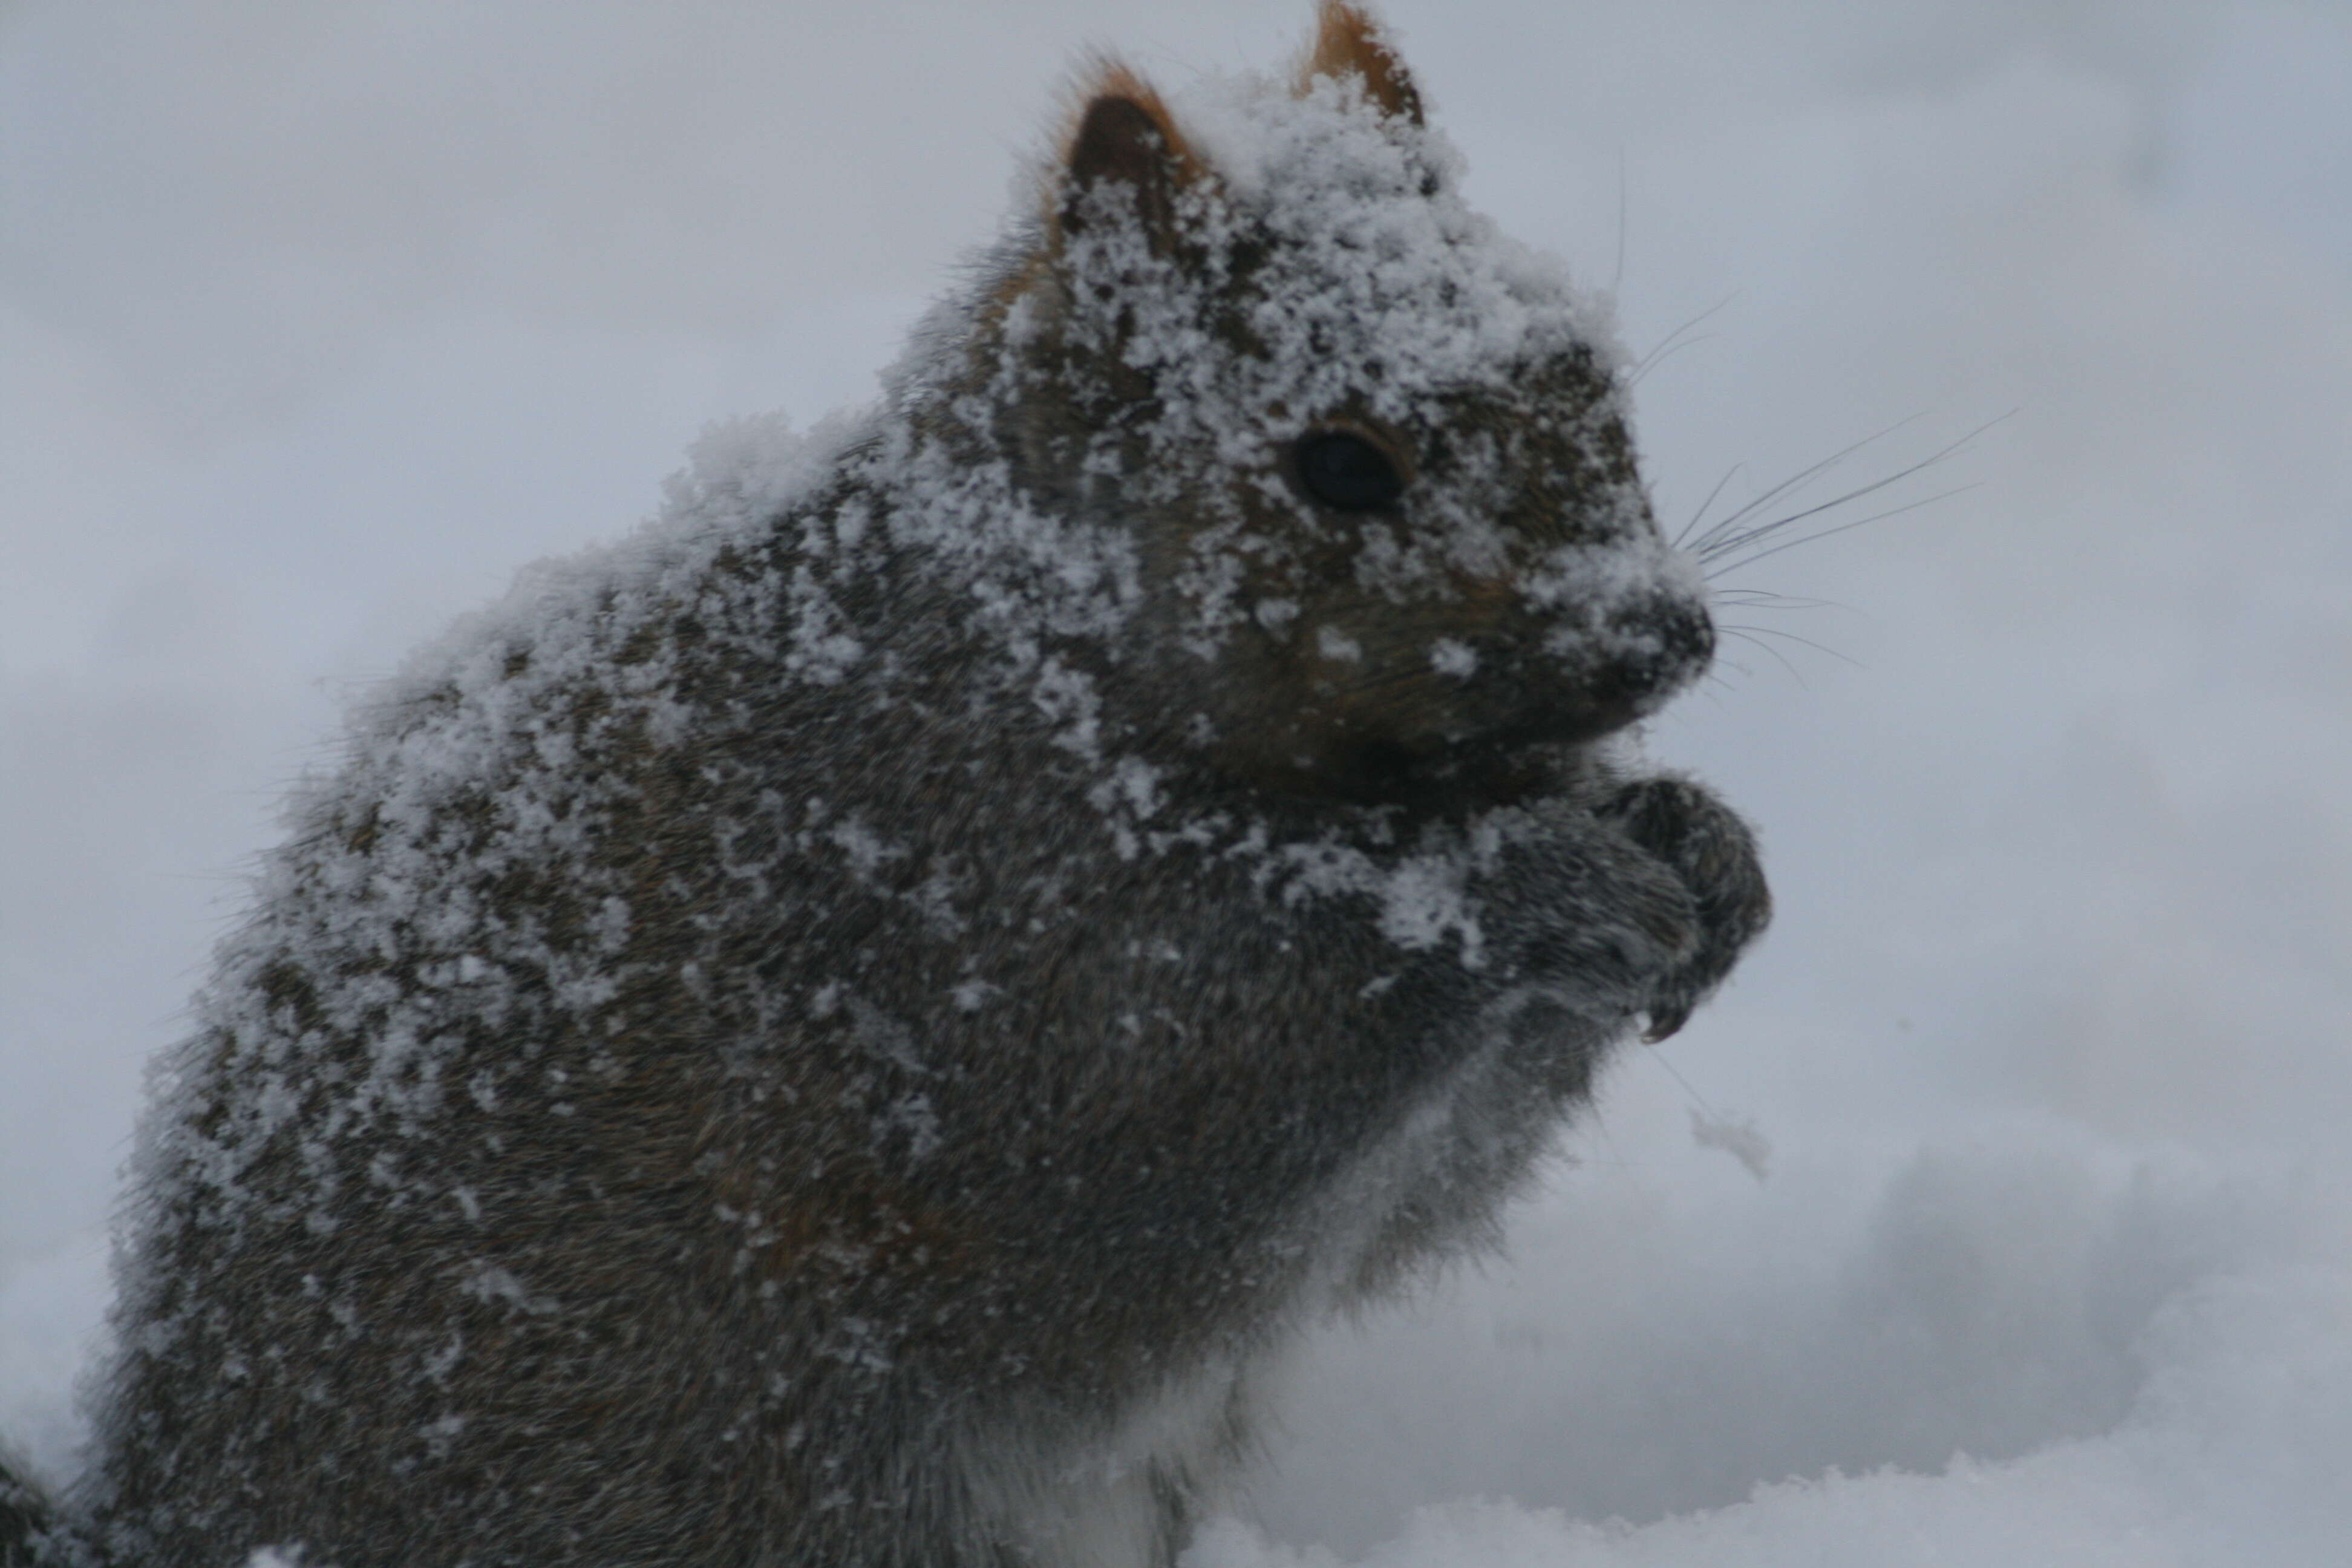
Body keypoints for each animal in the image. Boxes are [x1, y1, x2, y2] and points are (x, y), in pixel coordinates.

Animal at [0, 12, 1768, 1568]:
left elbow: (1410, 1198)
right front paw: (1545, 889)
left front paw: (1701, 848)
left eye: (1592, 368)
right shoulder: (968, 936)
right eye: (1336, 465)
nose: (1661, 637)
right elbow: (1194, 1116)